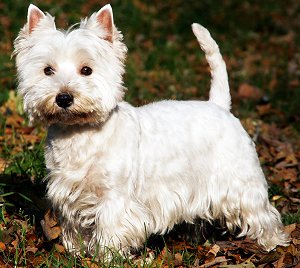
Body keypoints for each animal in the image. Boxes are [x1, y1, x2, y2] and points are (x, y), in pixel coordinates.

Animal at [13, 2, 288, 258]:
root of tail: (219, 105)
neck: (81, 134)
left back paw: (272, 243)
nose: (64, 98)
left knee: (261, 212)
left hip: (240, 179)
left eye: (86, 70)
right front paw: (78, 252)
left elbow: (110, 227)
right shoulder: (69, 193)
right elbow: (76, 226)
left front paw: (107, 256)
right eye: (48, 70)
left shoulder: (115, 197)